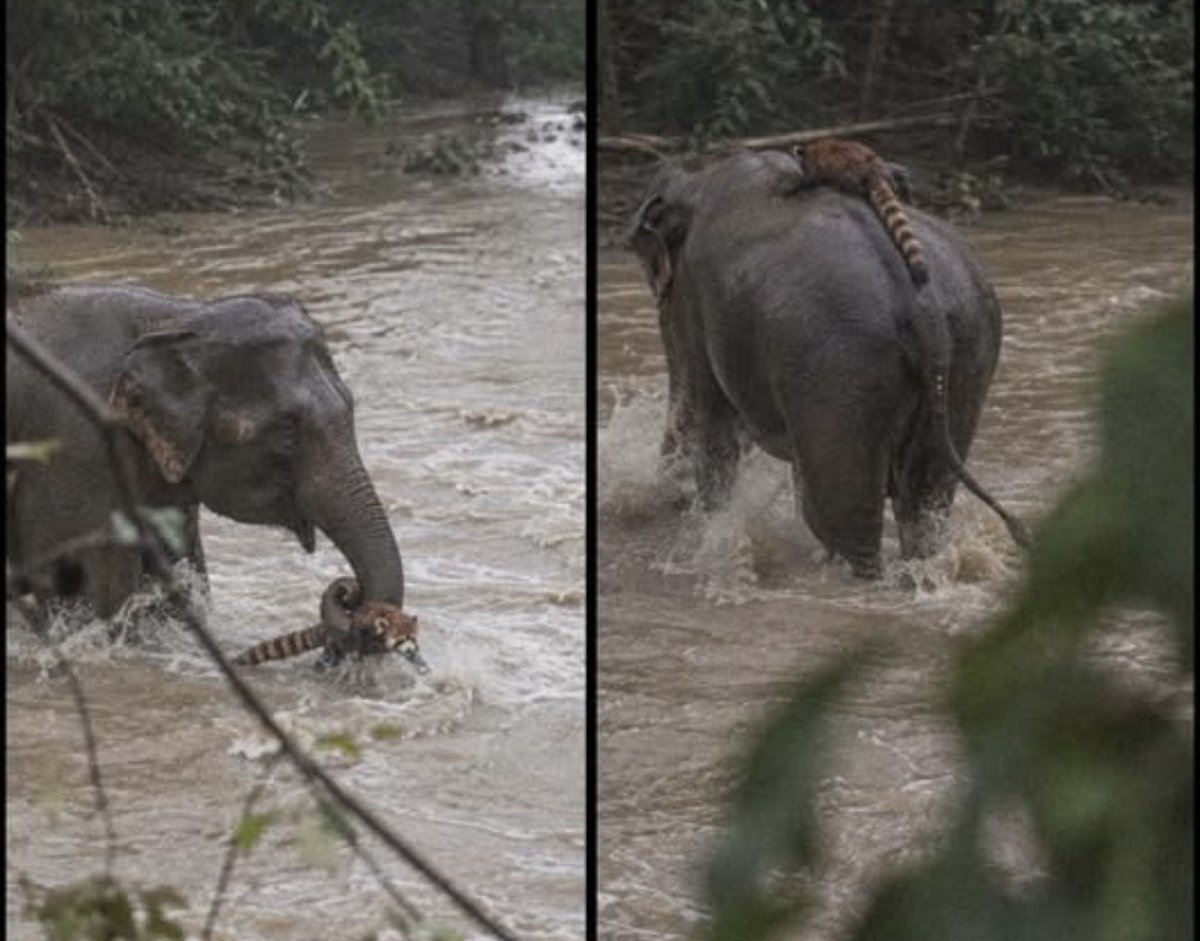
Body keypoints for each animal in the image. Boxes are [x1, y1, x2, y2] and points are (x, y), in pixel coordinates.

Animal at [6, 283, 406, 623]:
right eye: (287, 430)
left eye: (350, 405)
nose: (349, 592)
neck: (176, 318)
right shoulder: (77, 454)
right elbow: (101, 595)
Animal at [625, 150, 1027, 577]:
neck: (700, 178)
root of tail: (925, 308)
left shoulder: (697, 306)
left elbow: (709, 422)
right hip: (967, 352)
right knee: (922, 505)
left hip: (844, 369)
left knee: (836, 515)